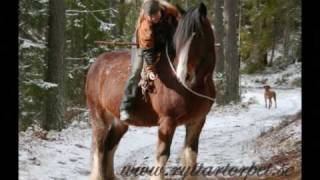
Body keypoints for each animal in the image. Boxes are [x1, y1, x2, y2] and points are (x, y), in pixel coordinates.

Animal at [85, 2, 216, 179]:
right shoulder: (167, 122)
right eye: (179, 39)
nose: (185, 75)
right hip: (99, 117)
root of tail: (95, 64)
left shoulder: (197, 121)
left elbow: (191, 155)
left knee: (109, 146)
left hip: (119, 121)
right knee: (98, 149)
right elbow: (162, 156)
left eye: (199, 35)